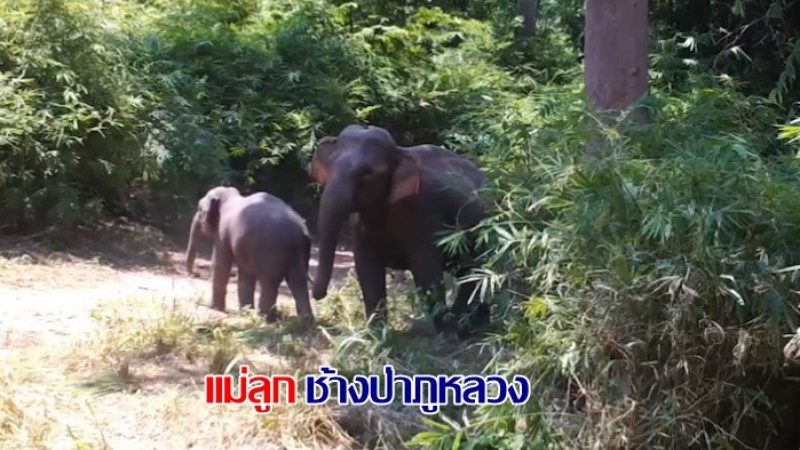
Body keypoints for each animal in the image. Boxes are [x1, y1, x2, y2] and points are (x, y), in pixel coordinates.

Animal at [186, 185, 314, 324]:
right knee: (298, 281)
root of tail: (298, 233)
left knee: (270, 282)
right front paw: (245, 312)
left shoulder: (222, 233)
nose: (196, 273)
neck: (229, 196)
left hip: (273, 250)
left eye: (200, 210)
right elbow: (245, 273)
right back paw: (304, 321)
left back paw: (265, 318)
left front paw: (214, 308)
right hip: (300, 252)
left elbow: (221, 266)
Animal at [310, 124, 488, 338]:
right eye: (331, 165)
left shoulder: (423, 213)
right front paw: (376, 336)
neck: (400, 151)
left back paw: (466, 326)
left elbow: (426, 271)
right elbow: (367, 270)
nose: (319, 295)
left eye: (368, 174)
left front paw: (447, 336)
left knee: (475, 273)